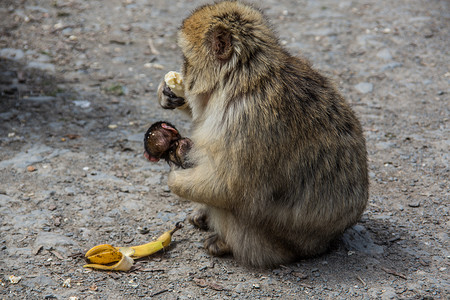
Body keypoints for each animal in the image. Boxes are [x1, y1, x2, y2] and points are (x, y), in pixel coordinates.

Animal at [156, 0, 368, 268]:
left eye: (186, 58)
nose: (185, 69)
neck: (244, 75)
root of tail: (326, 241)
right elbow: (201, 113)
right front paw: (169, 92)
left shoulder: (245, 118)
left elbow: (229, 187)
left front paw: (175, 178)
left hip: (269, 242)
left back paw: (224, 243)